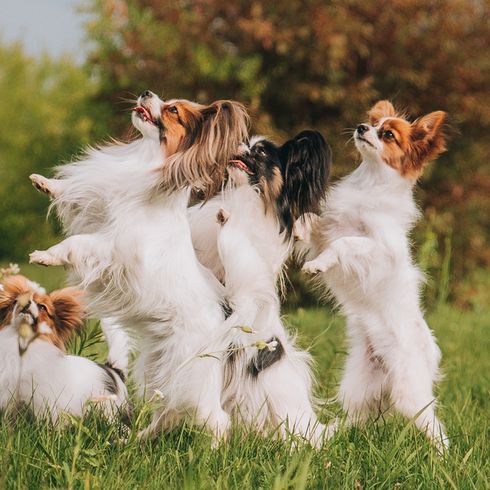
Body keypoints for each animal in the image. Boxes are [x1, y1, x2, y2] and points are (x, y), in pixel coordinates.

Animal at [0, 276, 128, 422]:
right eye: (14, 302)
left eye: (42, 306)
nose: (25, 303)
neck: (23, 343)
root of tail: (113, 370)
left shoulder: (43, 400)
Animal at [28, 90, 247, 442]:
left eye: (172, 110)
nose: (147, 93)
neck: (147, 161)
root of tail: (223, 327)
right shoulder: (101, 211)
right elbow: (77, 196)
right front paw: (46, 183)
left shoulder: (112, 244)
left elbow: (75, 244)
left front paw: (46, 255)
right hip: (160, 371)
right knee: (165, 411)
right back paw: (137, 438)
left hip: (190, 379)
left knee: (215, 419)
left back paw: (213, 449)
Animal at [296, 101, 450, 450]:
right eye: (372, 123)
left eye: (388, 134)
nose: (361, 128)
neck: (369, 182)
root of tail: (430, 352)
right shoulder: (328, 229)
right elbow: (314, 222)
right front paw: (296, 226)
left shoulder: (378, 251)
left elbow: (344, 243)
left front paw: (317, 265)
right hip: (358, 386)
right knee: (357, 418)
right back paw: (338, 436)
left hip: (410, 395)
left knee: (436, 428)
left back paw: (445, 458)